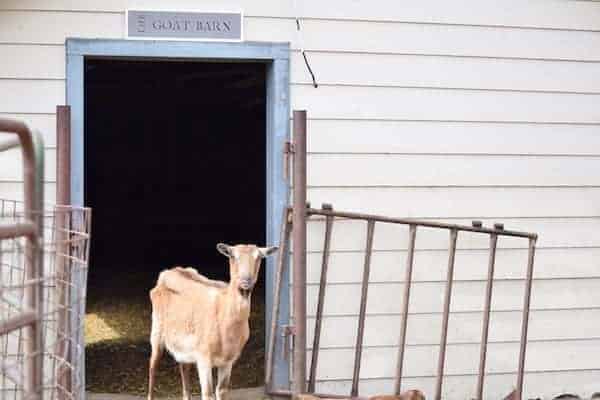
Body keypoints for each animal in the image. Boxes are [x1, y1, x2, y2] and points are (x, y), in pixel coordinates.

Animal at [146, 242, 278, 400]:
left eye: (259, 257)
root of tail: (168, 273)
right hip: (156, 331)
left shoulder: (228, 361)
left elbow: (221, 390)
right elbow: (207, 393)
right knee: (153, 365)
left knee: (184, 367)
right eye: (233, 256)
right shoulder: (203, 357)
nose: (246, 281)